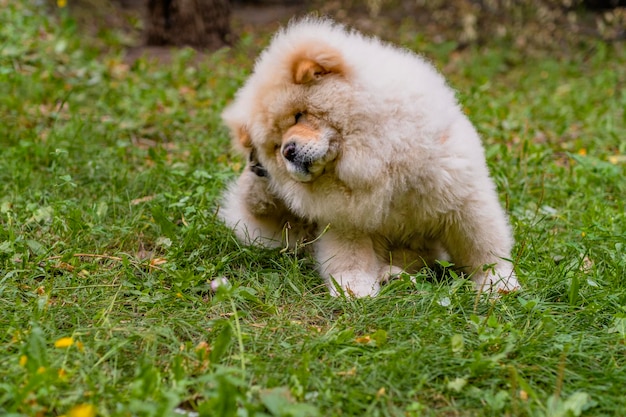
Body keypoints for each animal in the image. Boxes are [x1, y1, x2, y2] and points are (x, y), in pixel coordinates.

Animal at [217, 17, 520, 296]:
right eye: (276, 143)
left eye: (299, 116)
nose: (287, 151)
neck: (374, 159)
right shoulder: (347, 219)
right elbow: (351, 257)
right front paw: (354, 289)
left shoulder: (460, 195)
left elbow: (481, 245)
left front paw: (497, 283)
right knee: (258, 209)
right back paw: (259, 177)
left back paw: (393, 274)